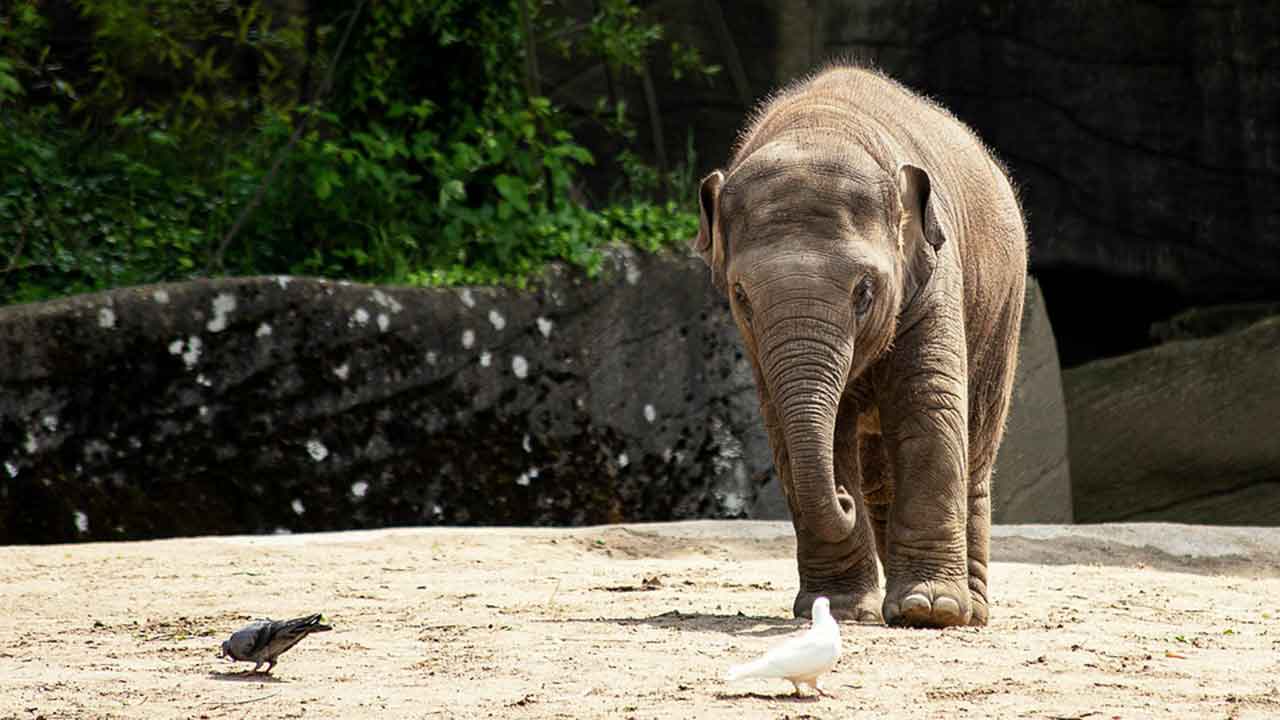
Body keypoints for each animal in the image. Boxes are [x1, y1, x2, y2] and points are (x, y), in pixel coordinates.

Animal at [694, 64, 1027, 627]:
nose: (841, 499)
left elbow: (928, 409)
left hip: (1003, 307)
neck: (819, 126)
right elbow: (794, 428)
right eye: (741, 296)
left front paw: (929, 611)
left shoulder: (934, 277)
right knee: (878, 470)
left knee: (975, 445)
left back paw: (968, 610)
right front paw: (841, 610)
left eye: (865, 291)